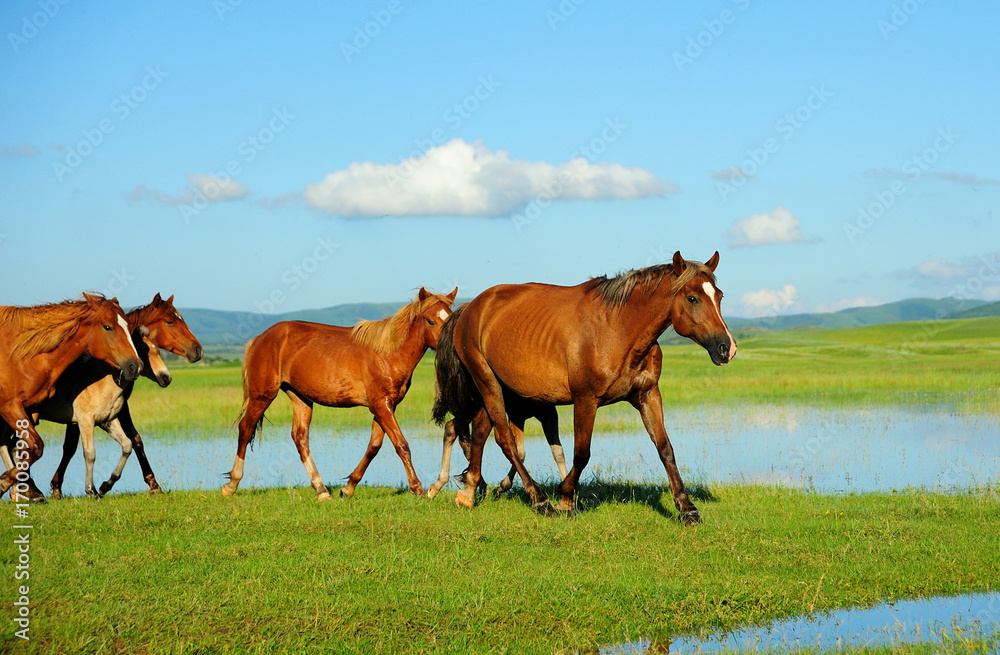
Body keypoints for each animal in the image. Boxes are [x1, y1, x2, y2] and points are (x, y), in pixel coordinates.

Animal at [0, 294, 143, 502]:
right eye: (107, 327)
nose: (136, 366)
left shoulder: (106, 420)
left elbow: (127, 445)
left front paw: (105, 485)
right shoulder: (13, 407)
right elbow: (81, 452)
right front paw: (91, 489)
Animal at [222, 287, 457, 500]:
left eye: (450, 318)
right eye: (430, 321)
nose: (449, 346)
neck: (388, 353)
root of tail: (260, 338)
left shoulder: (386, 406)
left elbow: (374, 447)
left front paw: (349, 487)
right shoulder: (381, 405)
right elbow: (402, 445)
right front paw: (418, 489)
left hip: (300, 397)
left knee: (300, 437)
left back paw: (321, 489)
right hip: (262, 395)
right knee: (245, 429)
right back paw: (232, 484)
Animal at [433, 251, 736, 524]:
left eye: (719, 296)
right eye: (692, 298)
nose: (727, 348)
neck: (617, 329)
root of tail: (470, 307)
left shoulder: (648, 395)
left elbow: (665, 449)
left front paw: (687, 509)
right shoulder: (586, 400)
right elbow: (582, 453)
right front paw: (566, 499)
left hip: (497, 390)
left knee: (481, 433)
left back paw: (469, 492)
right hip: (488, 384)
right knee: (504, 440)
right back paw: (539, 500)